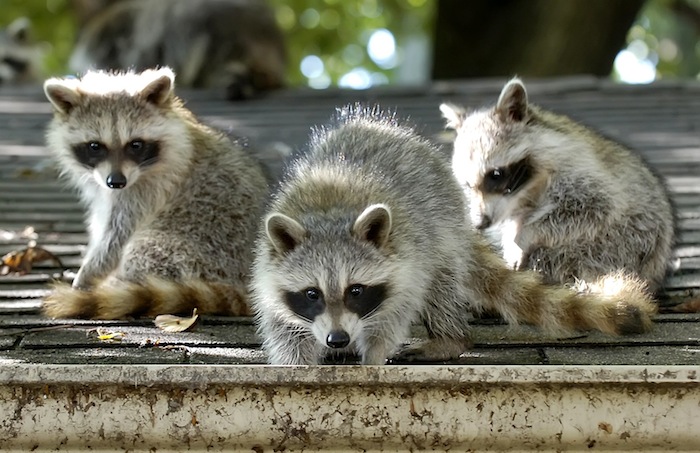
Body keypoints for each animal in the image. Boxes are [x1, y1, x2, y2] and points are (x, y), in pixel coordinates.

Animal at [41, 67, 268, 318]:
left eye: (135, 145)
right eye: (95, 146)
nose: (116, 182)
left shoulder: (149, 190)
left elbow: (116, 237)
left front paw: (88, 274)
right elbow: (101, 223)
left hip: (204, 250)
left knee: (144, 250)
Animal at [252, 106, 656, 364]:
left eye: (356, 290)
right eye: (312, 293)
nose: (338, 339)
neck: (330, 215)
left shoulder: (407, 260)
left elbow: (395, 313)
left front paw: (373, 358)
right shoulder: (270, 273)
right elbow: (283, 328)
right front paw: (299, 367)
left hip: (442, 235)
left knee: (440, 289)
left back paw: (449, 339)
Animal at [440, 77, 676, 294]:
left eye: (495, 175)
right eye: (467, 185)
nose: (480, 223)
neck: (527, 189)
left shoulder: (577, 170)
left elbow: (592, 208)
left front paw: (523, 235)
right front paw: (511, 235)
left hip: (619, 242)